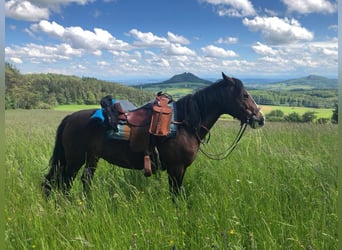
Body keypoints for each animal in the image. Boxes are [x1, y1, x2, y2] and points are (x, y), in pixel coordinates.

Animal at [41, 72, 264, 197]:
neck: (185, 124)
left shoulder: (179, 170)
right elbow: (176, 196)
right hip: (76, 160)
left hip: (87, 159)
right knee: (67, 183)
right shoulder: (176, 169)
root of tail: (70, 117)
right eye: (245, 95)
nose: (260, 118)